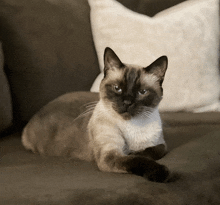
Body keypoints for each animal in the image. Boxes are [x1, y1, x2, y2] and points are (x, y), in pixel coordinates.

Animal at [21, 46, 168, 183]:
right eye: (117, 88)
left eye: (142, 92)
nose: (127, 102)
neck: (132, 125)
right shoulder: (109, 156)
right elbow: (135, 160)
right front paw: (161, 173)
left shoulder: (160, 144)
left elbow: (150, 152)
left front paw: (134, 152)